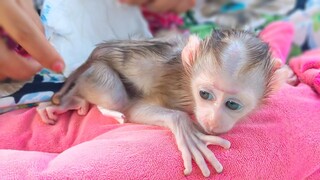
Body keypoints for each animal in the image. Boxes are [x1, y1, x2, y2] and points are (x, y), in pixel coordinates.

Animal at [37, 29, 288, 177]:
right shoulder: (176, 91)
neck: (187, 78)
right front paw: (187, 132)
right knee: (114, 98)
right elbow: (135, 108)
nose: (212, 120)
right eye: (205, 95)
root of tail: (95, 54)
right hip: (98, 72)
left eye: (232, 105)